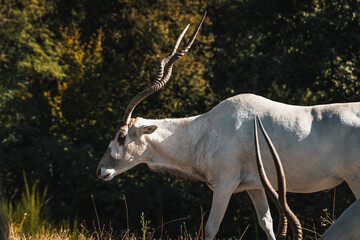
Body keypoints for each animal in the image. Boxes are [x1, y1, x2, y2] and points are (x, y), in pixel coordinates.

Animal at [97, 12, 360, 239]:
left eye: (121, 136)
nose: (101, 170)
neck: (205, 130)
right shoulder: (256, 187)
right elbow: (267, 223)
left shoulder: (224, 185)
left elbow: (211, 228)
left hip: (355, 180)